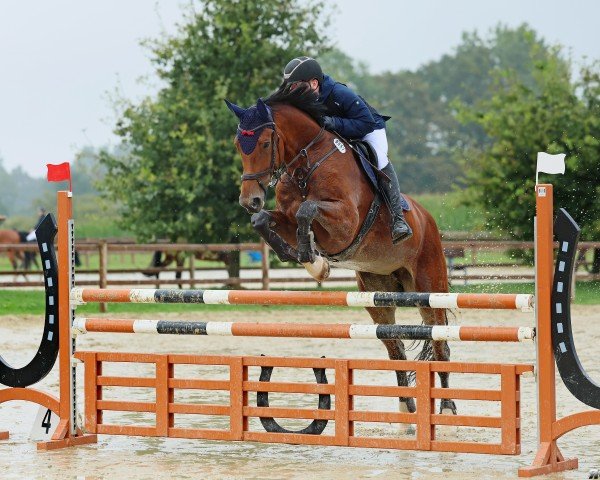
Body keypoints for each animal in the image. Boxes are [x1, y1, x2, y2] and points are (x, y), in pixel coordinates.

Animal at [227, 86, 458, 416]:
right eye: (238, 144)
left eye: (265, 143)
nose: (250, 201)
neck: (305, 164)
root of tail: (427, 218)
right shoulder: (284, 217)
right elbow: (265, 221)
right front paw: (305, 258)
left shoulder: (344, 224)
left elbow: (308, 210)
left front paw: (314, 260)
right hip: (378, 294)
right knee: (396, 347)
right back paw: (405, 408)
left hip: (430, 286)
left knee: (439, 342)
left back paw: (448, 408)